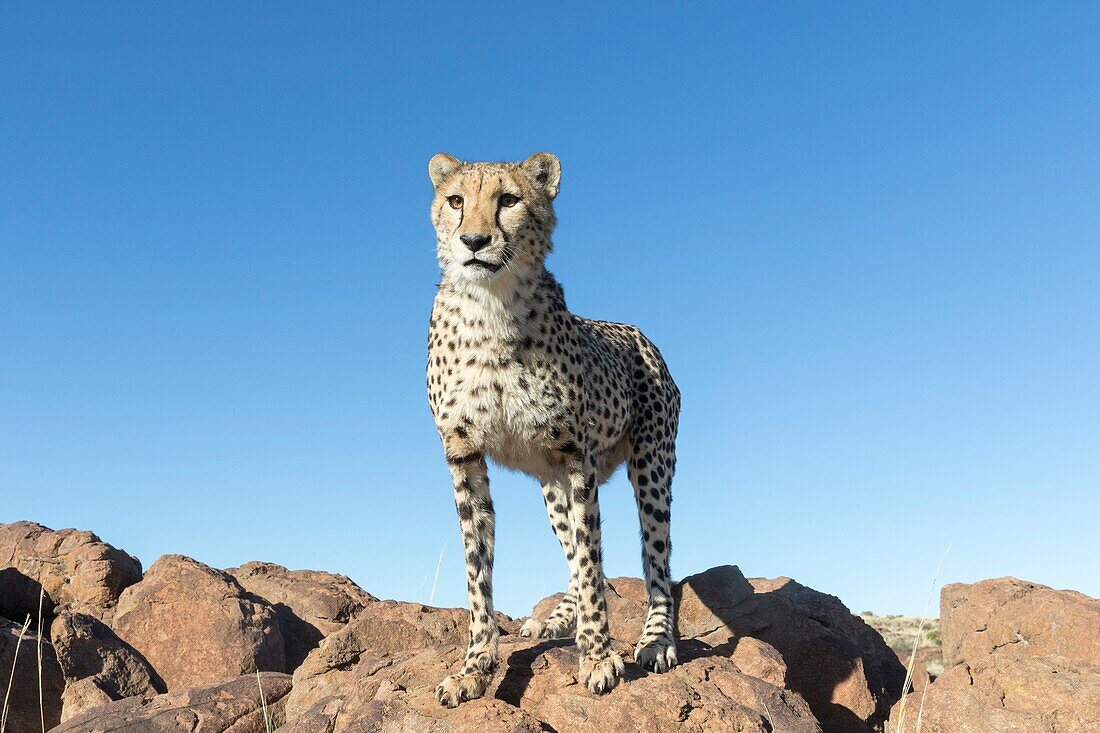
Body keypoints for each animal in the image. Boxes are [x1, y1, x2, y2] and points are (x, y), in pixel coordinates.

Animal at [426, 152, 677, 704]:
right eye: (455, 200)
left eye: (509, 199)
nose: (473, 241)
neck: (490, 307)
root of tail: (639, 332)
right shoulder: (464, 456)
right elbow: (478, 570)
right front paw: (475, 666)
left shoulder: (574, 454)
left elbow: (591, 560)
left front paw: (598, 656)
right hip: (551, 485)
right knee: (575, 549)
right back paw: (559, 619)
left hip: (652, 465)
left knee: (656, 556)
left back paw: (656, 640)